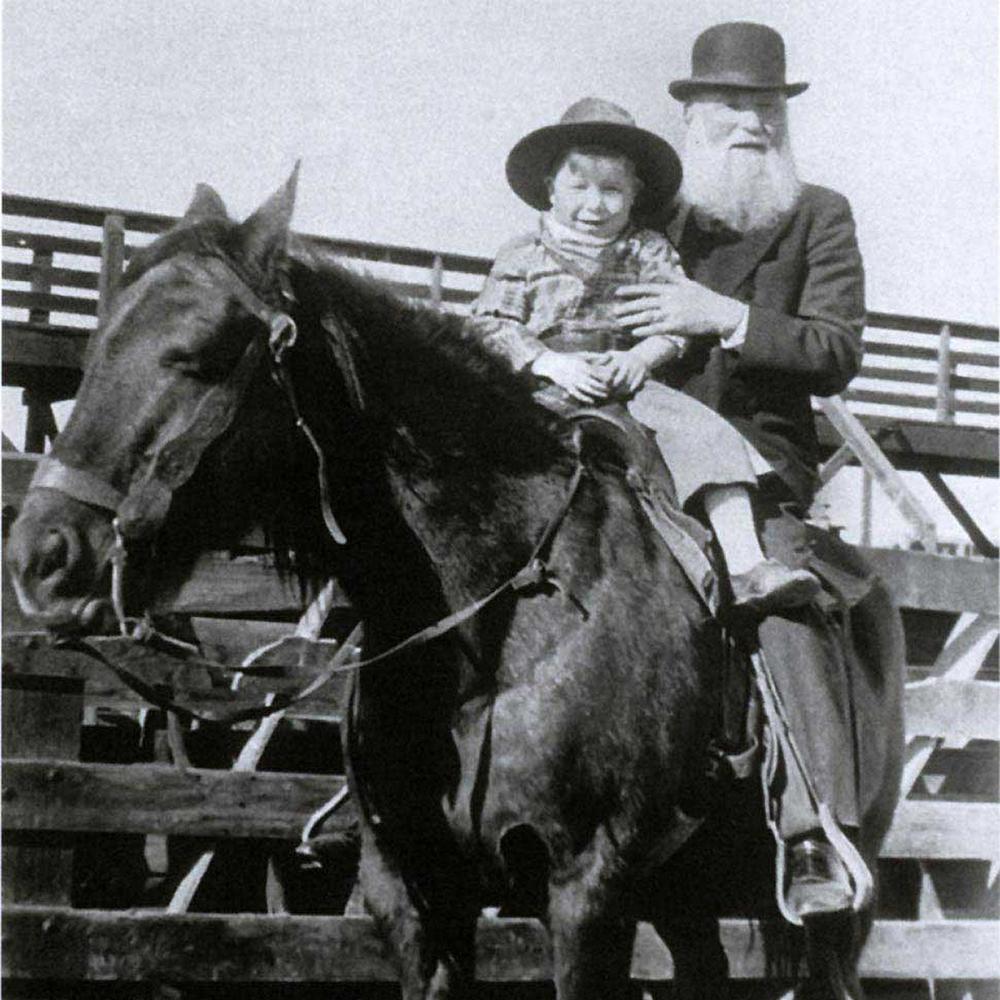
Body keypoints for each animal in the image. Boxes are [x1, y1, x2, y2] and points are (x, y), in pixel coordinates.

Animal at [5, 168, 908, 996]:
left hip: (833, 914)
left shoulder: (588, 893)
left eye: (197, 359)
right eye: (95, 352)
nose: (42, 557)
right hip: (685, 895)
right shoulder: (413, 892)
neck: (501, 629)